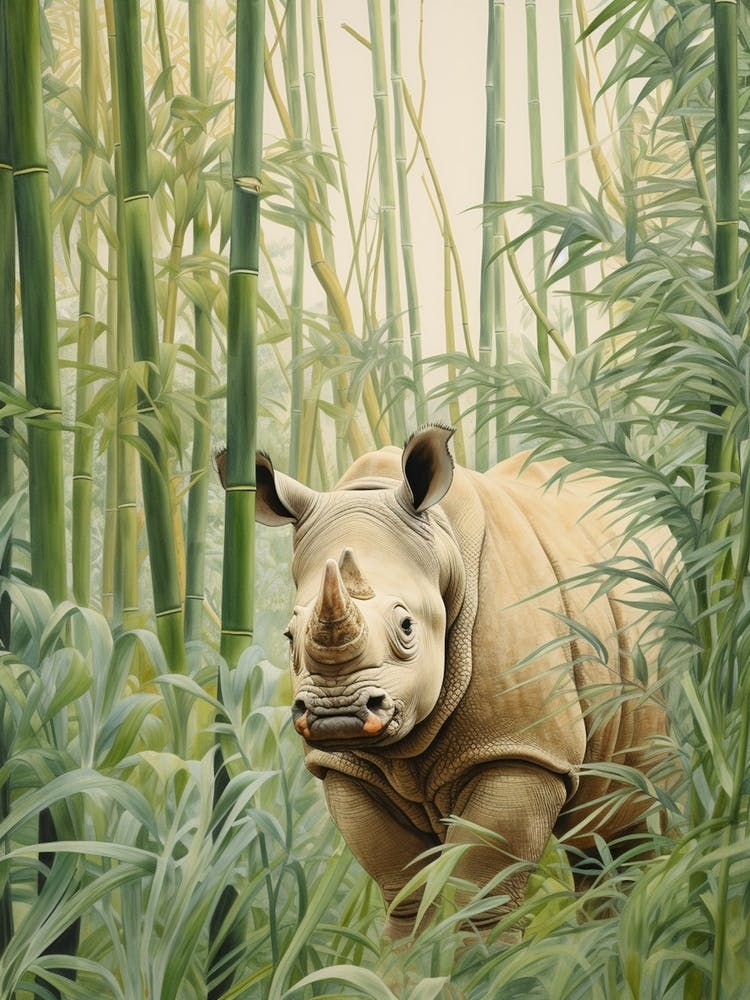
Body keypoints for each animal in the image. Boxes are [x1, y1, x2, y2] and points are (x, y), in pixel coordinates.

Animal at [221, 425, 669, 936]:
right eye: (289, 636)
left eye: (407, 627)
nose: (337, 713)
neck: (443, 546)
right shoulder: (346, 767)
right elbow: (406, 889)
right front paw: (408, 960)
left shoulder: (522, 747)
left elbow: (482, 895)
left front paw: (484, 960)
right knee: (601, 831)